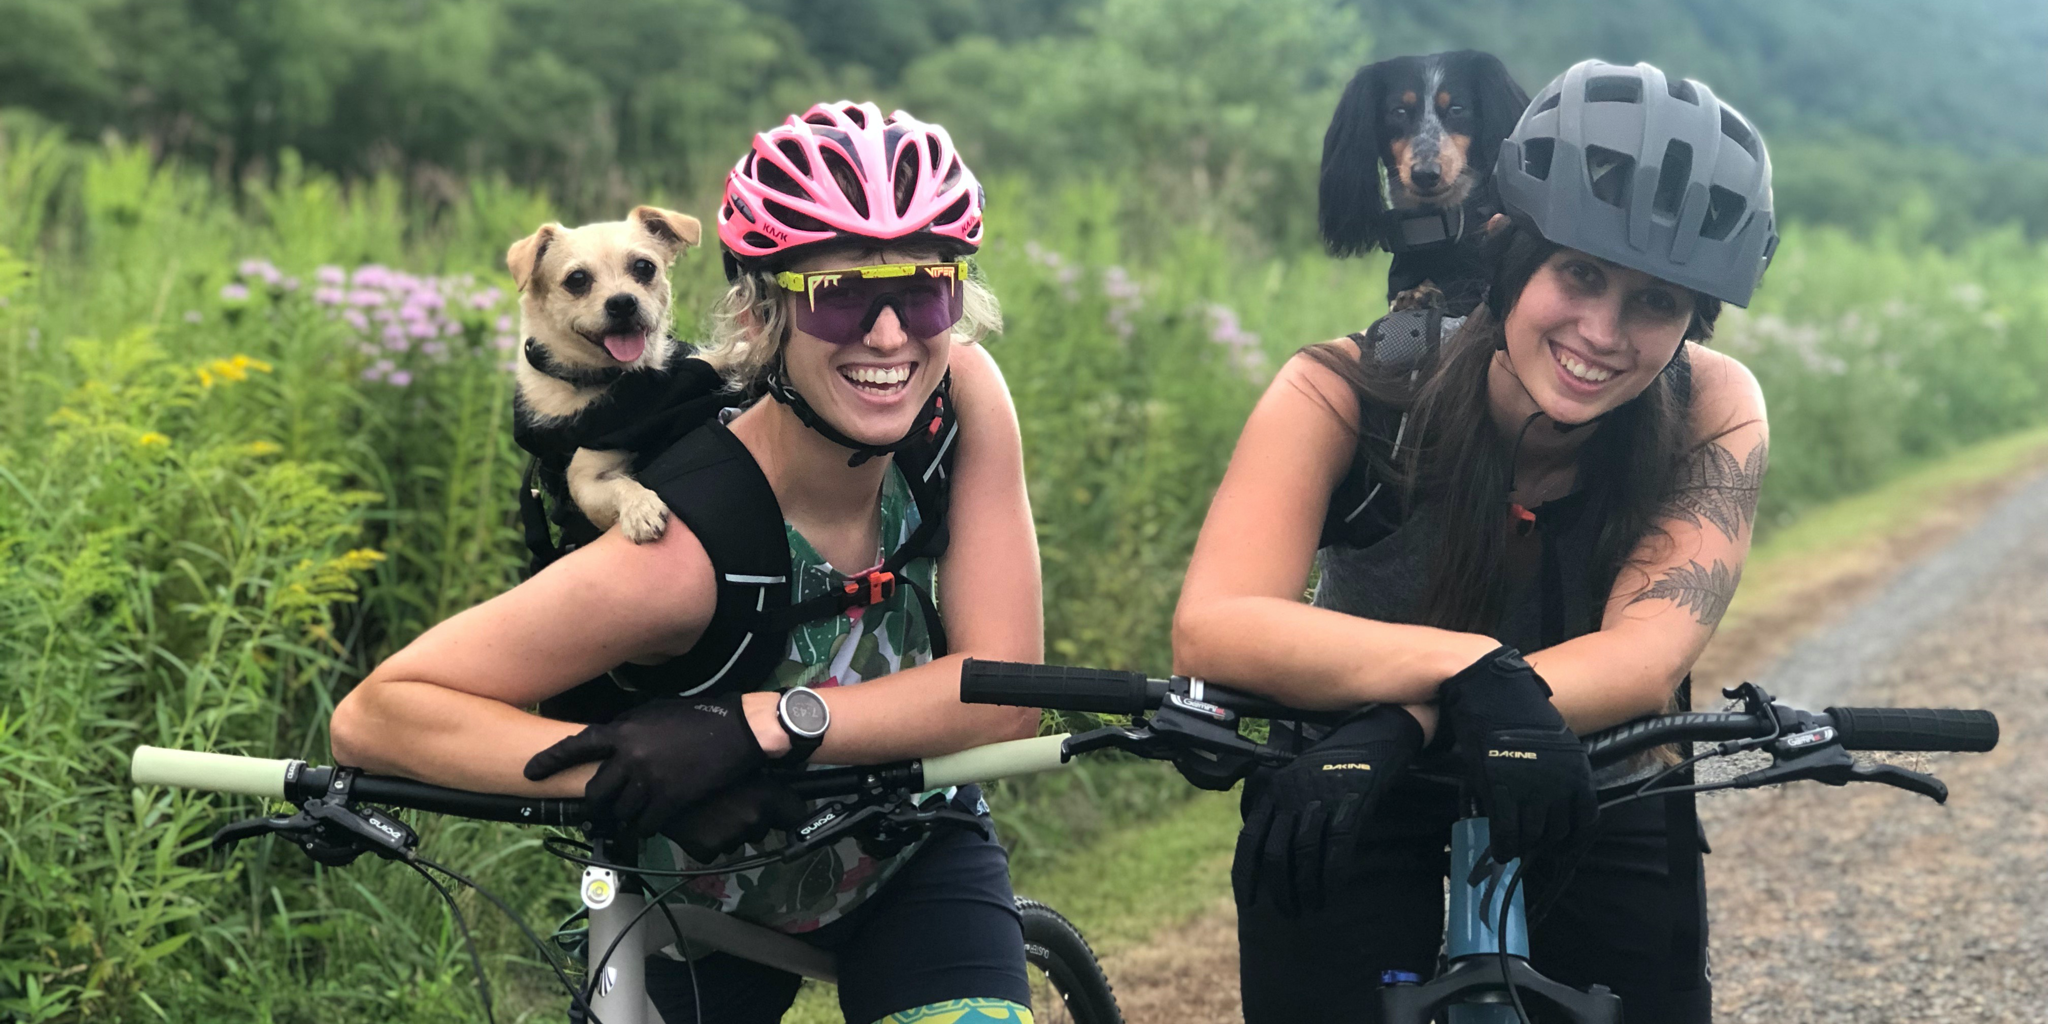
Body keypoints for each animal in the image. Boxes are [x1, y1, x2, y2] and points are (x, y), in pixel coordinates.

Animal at [505, 202, 700, 548]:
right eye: (577, 279)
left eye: (644, 267)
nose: (622, 302)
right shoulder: (584, 479)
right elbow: (619, 485)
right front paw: (640, 508)